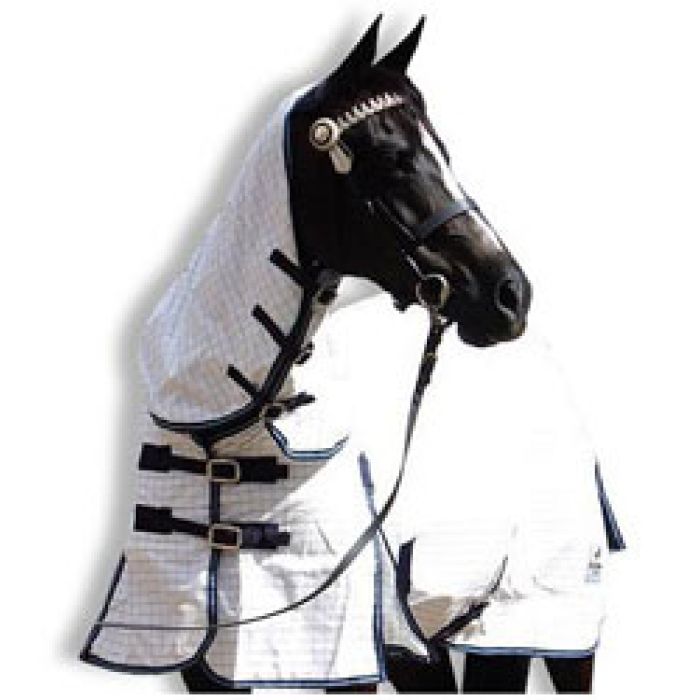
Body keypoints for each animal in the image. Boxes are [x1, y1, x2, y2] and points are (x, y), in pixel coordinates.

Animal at [80, 16, 531, 692]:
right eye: (394, 160)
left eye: (443, 153)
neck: (225, 428)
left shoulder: (348, 651)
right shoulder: (194, 656)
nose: (511, 295)